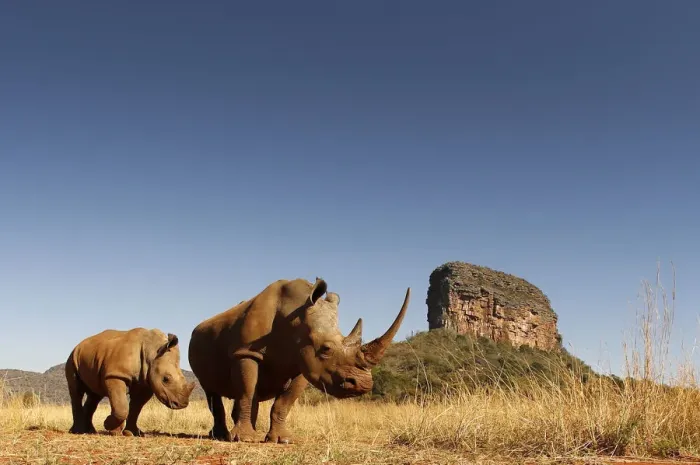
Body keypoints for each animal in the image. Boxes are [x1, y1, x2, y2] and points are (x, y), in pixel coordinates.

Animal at [65, 328, 196, 436]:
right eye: (166, 379)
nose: (182, 404)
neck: (152, 351)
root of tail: (78, 345)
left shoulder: (145, 382)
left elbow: (136, 407)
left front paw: (132, 433)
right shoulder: (115, 375)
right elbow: (122, 407)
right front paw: (110, 427)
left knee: (94, 395)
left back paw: (90, 431)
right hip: (72, 358)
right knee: (76, 392)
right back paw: (78, 431)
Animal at [188, 277, 410, 444]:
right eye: (326, 349)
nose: (363, 384)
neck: (295, 316)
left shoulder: (305, 362)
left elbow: (284, 402)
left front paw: (283, 440)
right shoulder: (246, 352)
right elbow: (246, 391)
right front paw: (244, 439)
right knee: (212, 390)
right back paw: (223, 436)